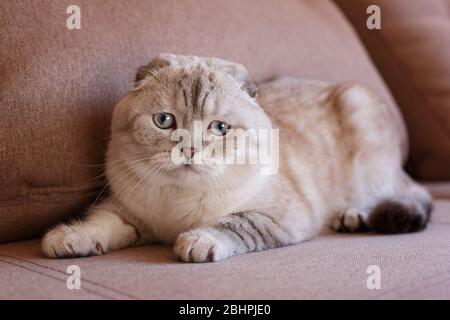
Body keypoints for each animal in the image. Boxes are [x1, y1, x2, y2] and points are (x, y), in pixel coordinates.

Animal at [42, 53, 432, 262]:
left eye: (220, 128)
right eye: (164, 121)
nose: (189, 149)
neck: (176, 208)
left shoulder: (279, 216)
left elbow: (234, 224)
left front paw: (196, 242)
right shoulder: (128, 213)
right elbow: (100, 224)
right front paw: (67, 239)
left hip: (366, 142)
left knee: (405, 196)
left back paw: (354, 217)